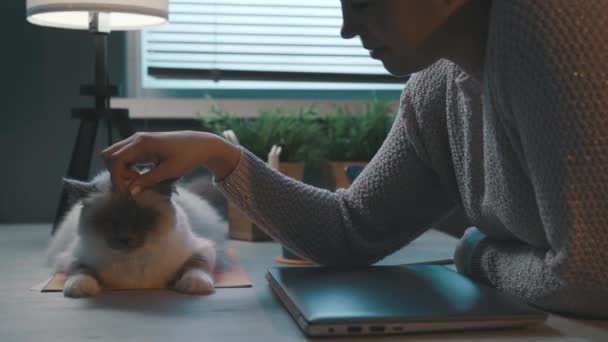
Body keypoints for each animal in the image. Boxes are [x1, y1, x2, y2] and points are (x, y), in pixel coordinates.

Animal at [47, 171, 228, 296]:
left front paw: (195, 285)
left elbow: (196, 265)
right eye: (109, 219)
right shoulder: (72, 256)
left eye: (140, 217)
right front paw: (79, 288)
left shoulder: (203, 248)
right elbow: (80, 270)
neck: (133, 262)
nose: (124, 238)